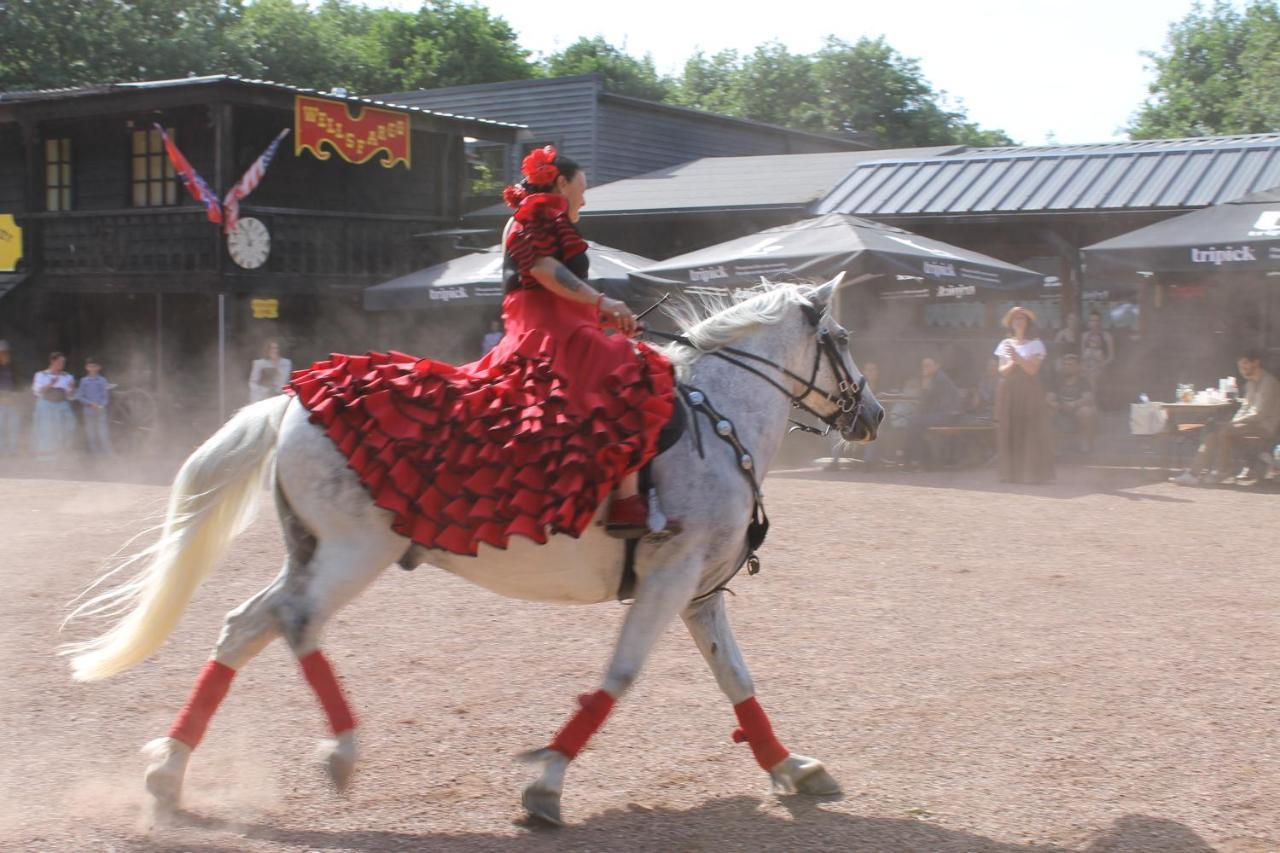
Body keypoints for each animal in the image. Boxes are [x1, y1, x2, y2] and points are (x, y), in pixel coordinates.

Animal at [62, 279, 880, 824]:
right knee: (298, 622)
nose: (872, 412)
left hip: (311, 550)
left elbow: (737, 680)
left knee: (245, 626)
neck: (719, 418)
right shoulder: (669, 578)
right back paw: (341, 750)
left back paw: (169, 774)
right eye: (841, 341)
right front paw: (546, 784)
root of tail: (294, 399)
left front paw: (792, 767)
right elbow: (618, 677)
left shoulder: (700, 591)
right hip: (354, 553)